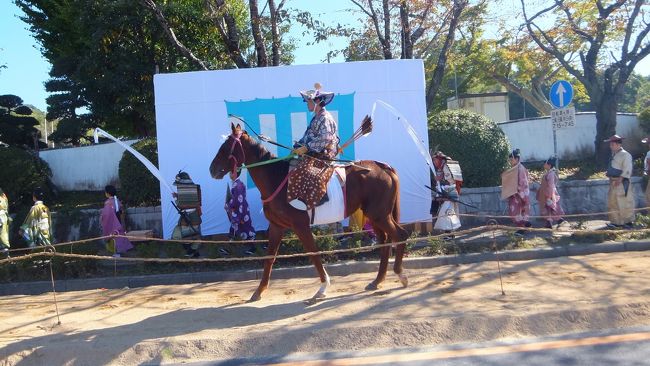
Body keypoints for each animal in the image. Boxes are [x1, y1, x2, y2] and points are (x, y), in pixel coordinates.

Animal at [210, 123, 408, 300]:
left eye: (226, 147)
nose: (212, 170)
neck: (277, 179)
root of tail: (384, 167)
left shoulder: (300, 225)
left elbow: (313, 254)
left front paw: (323, 287)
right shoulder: (276, 226)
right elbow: (270, 257)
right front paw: (259, 290)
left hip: (379, 215)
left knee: (400, 235)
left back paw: (400, 274)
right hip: (376, 216)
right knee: (384, 242)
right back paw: (377, 280)